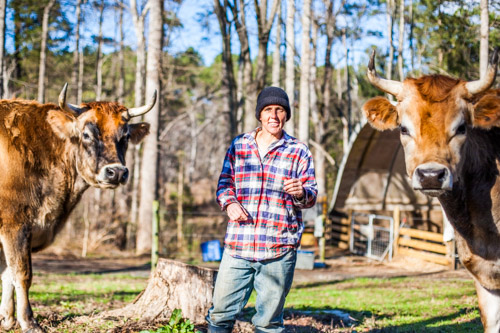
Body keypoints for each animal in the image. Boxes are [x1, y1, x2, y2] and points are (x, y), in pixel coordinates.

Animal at [0, 84, 155, 330]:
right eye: (86, 134)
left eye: (126, 136)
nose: (116, 172)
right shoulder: (15, 223)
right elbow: (22, 273)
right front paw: (29, 322)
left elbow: (7, 274)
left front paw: (7, 319)